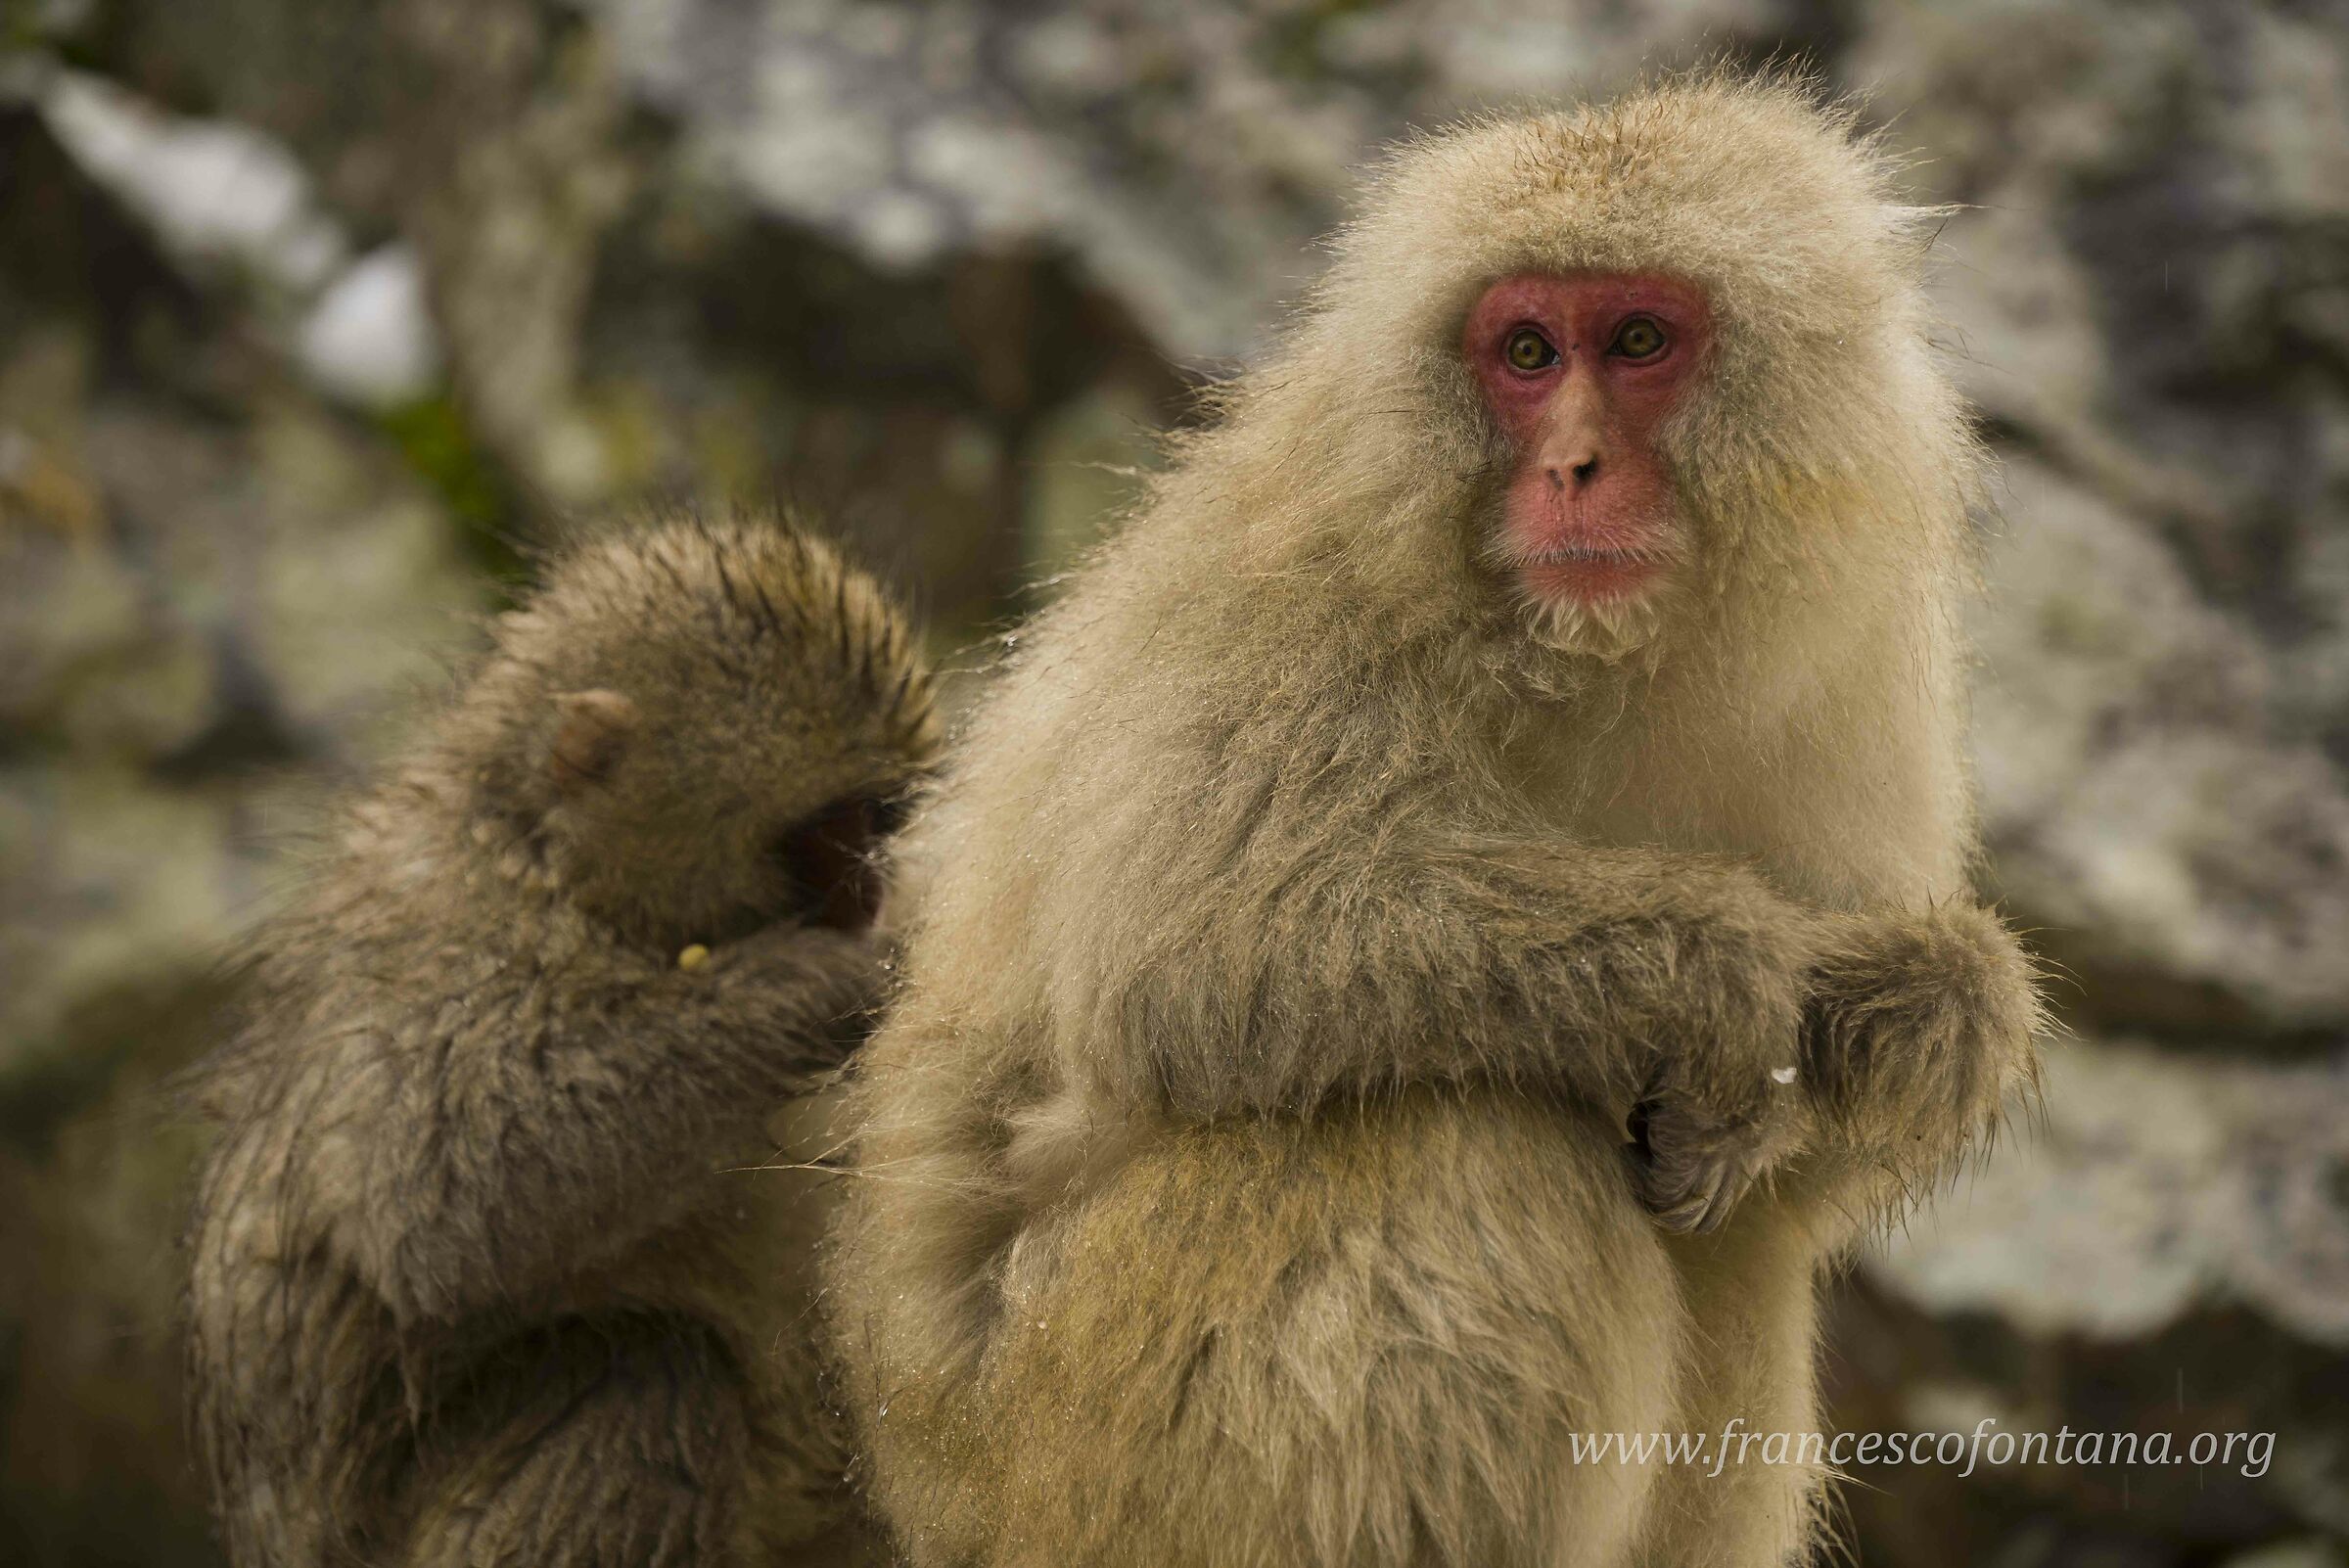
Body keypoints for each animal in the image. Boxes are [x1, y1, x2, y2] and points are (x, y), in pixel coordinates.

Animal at [185, 512, 936, 1568]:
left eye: (879, 817)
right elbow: (440, 1200)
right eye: (821, 835)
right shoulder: (444, 939)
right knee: (647, 1373)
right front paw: (829, 981)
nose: (869, 892)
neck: (552, 863)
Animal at [824, 72, 2043, 1568]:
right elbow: (1189, 956)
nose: (1573, 465)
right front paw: (1721, 972)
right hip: (1074, 1439)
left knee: (1734, 1247)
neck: (1594, 657)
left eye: (1638, 340)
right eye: (1524, 352)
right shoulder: (1293, 586)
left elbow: (1798, 1174)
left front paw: (1929, 1007)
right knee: (1463, 1127)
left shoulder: (1855, 672)